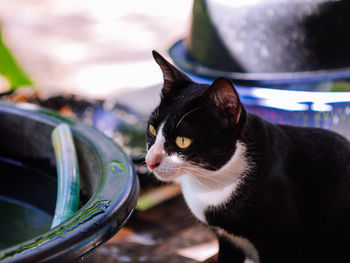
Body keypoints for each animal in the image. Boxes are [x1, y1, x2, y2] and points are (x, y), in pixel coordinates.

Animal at [144, 51, 350, 263]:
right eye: (152, 129)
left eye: (182, 141)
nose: (150, 162)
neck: (211, 183)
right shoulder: (228, 241)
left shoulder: (281, 242)